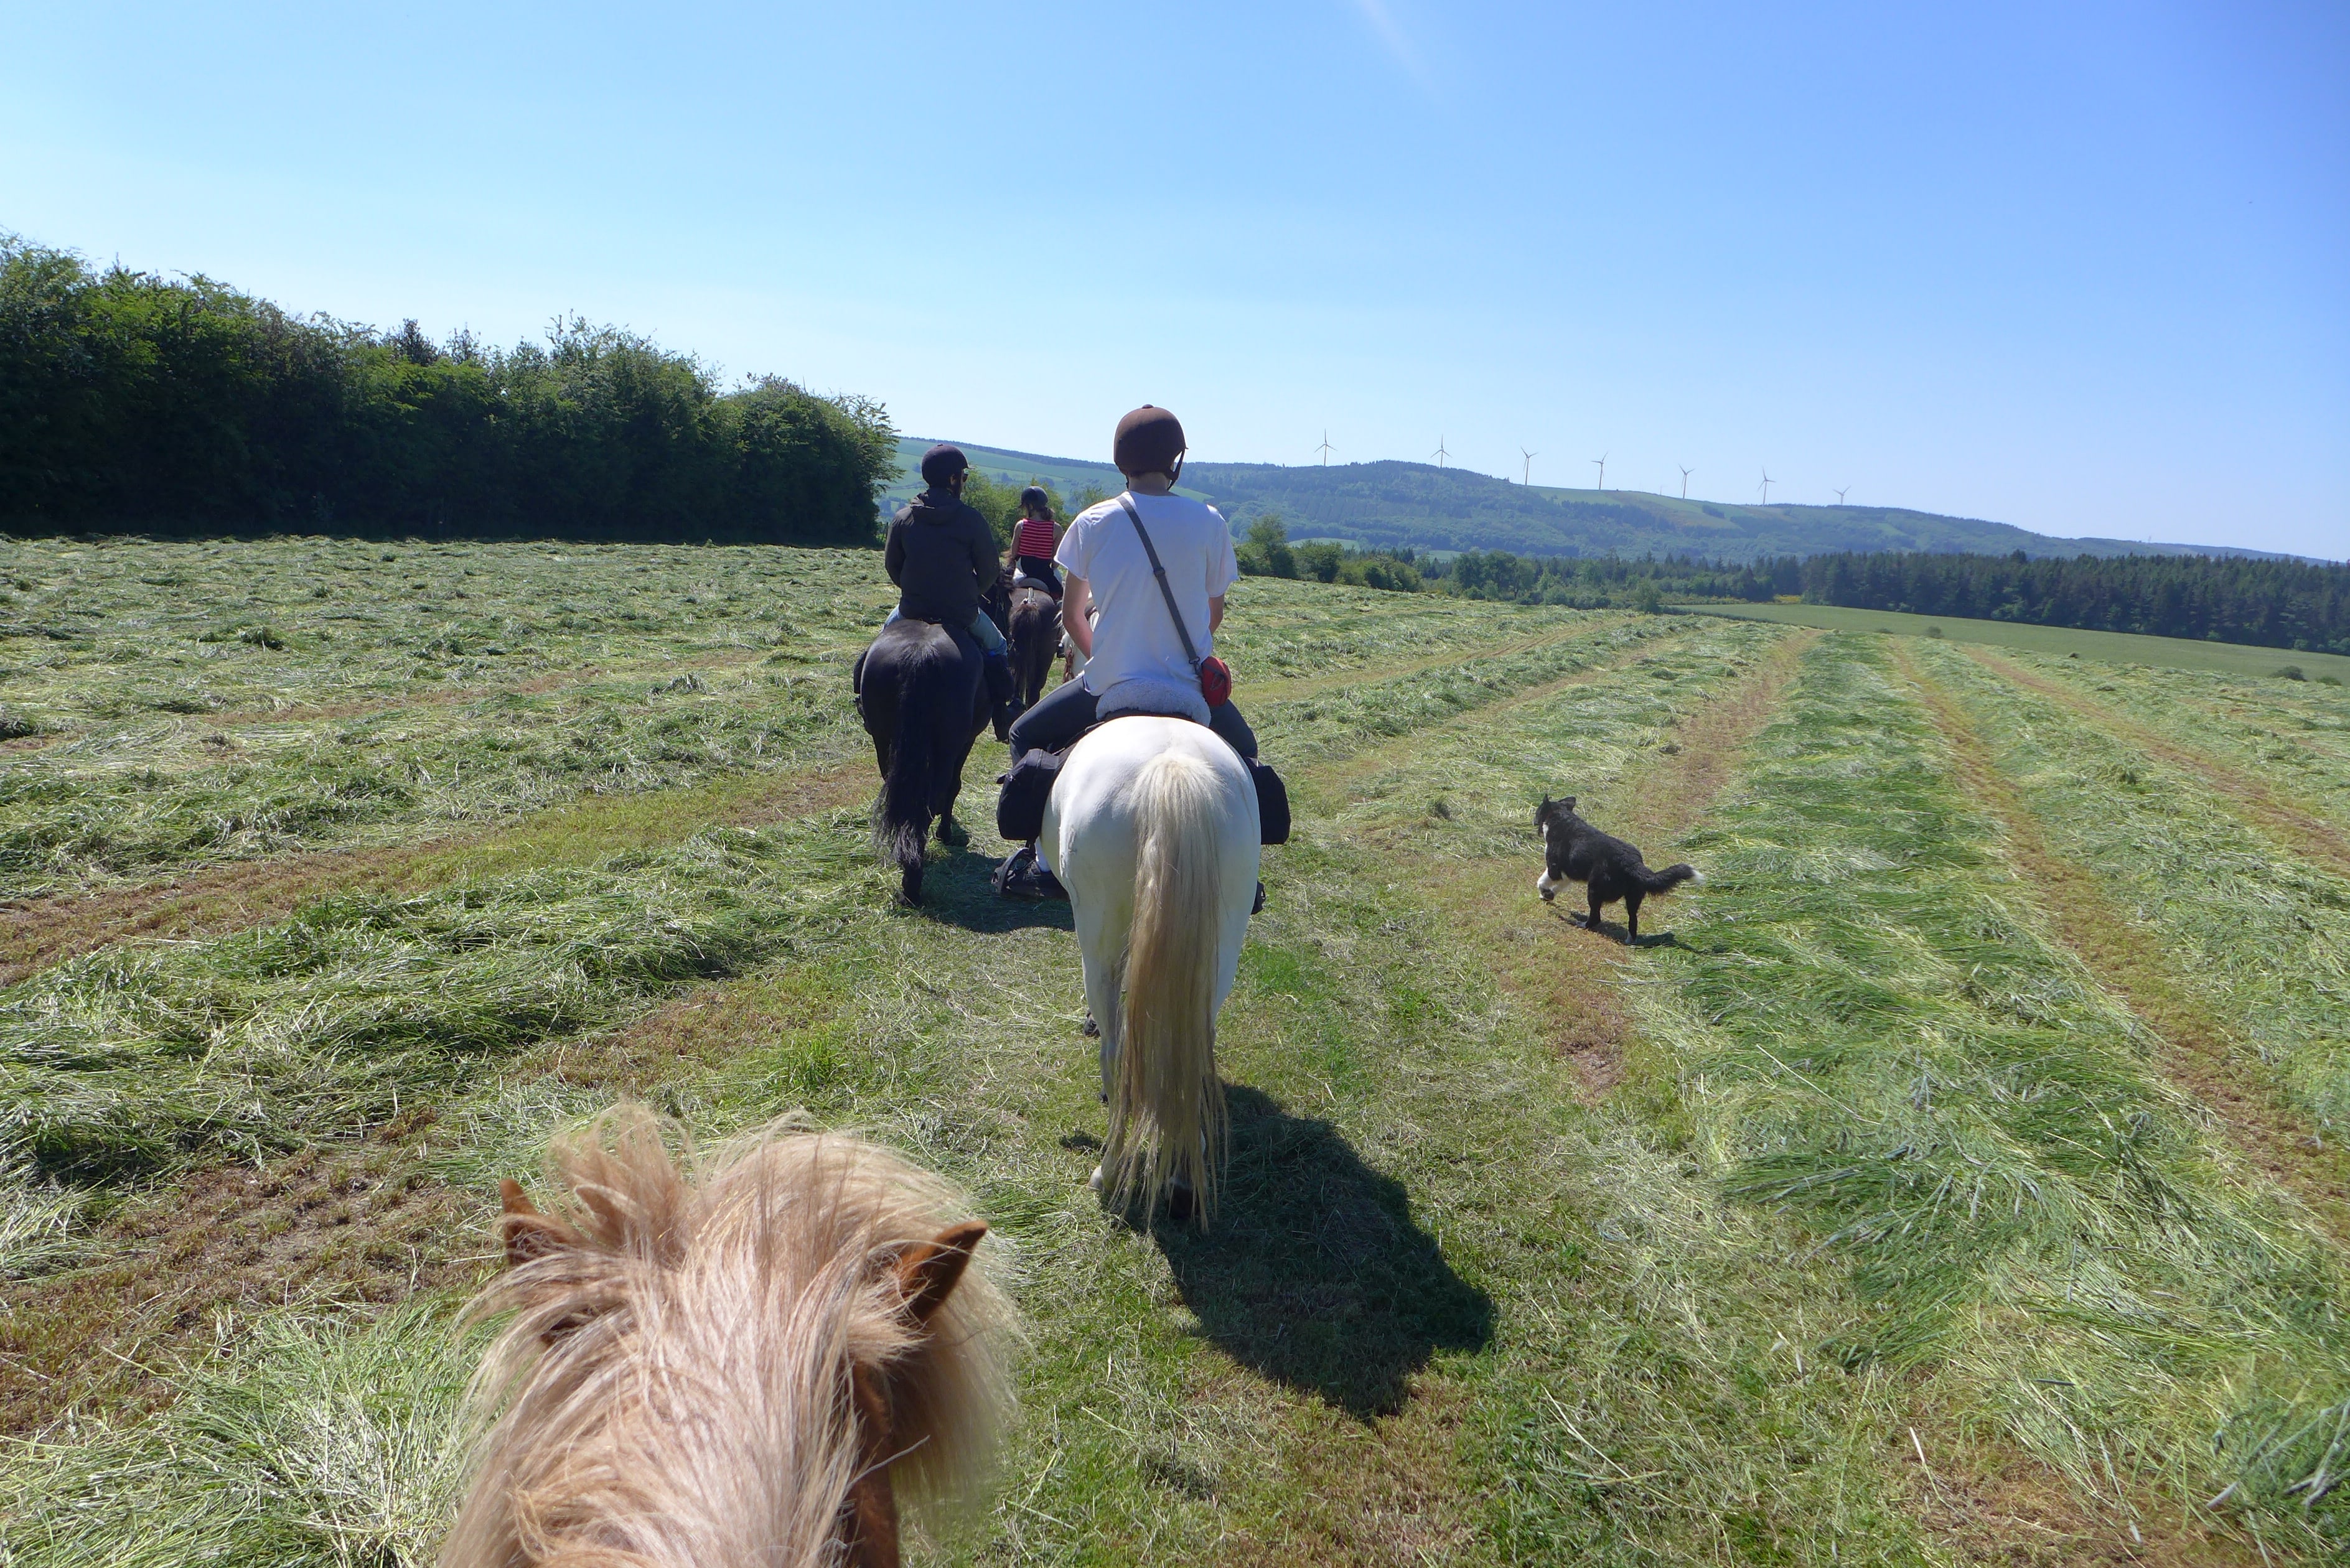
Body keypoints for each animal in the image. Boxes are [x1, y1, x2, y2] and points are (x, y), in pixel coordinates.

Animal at [856, 617, 987, 904]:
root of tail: (920, 655)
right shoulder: (966, 742)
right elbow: (954, 787)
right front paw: (946, 834)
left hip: (884, 743)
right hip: (948, 748)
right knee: (932, 799)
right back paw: (913, 883)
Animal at [1041, 715, 1260, 1227]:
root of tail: (1171, 767)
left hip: (1098, 942)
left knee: (1118, 1052)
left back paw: (1109, 1170)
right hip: (1221, 950)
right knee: (1193, 1047)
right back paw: (1183, 1174)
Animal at [1535, 795, 1701, 943]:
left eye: (1537, 811)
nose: (1533, 820)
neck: (1560, 817)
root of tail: (1634, 864)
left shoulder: (1555, 869)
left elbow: (1541, 881)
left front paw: (1545, 893)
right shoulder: (1568, 874)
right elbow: (1556, 887)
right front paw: (1548, 895)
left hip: (1594, 890)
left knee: (1596, 917)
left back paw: (1580, 924)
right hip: (1632, 899)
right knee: (1633, 921)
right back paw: (1629, 941)